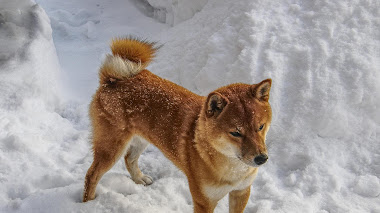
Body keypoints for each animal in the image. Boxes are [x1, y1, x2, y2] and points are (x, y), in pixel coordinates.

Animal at [84, 37, 274, 212]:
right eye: (236, 133)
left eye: (260, 127)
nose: (261, 158)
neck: (233, 168)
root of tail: (113, 79)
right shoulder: (204, 200)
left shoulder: (241, 192)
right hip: (111, 148)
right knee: (91, 175)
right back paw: (88, 202)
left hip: (141, 139)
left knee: (129, 159)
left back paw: (139, 178)